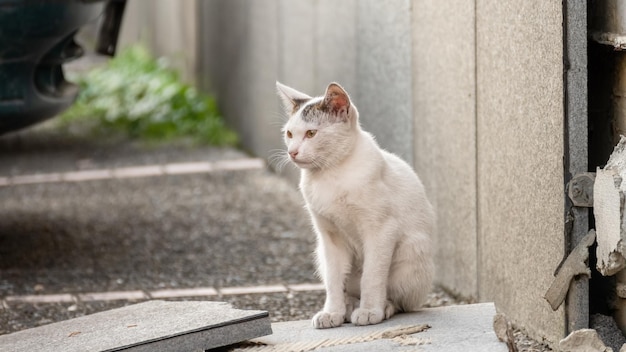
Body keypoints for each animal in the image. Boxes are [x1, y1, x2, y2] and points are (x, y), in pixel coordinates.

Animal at [276, 81, 432, 328]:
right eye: (289, 134)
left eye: (311, 133)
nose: (292, 152)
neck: (332, 173)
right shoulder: (329, 237)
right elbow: (333, 279)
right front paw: (332, 312)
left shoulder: (381, 230)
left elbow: (372, 275)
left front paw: (369, 311)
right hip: (320, 253)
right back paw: (348, 306)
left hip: (412, 253)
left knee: (402, 301)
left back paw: (382, 306)